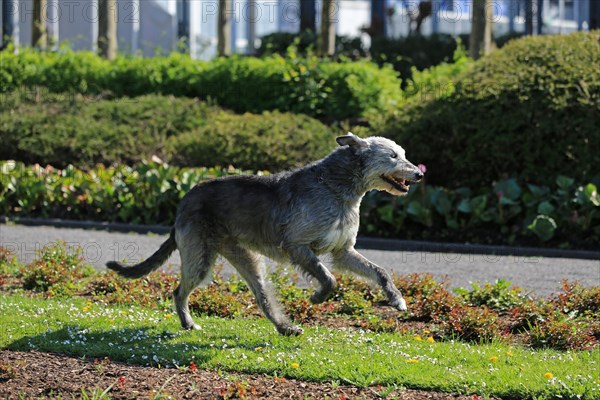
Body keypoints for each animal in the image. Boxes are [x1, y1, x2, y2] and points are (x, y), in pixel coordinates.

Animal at [109, 134, 426, 334]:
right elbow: (329, 277)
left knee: (261, 295)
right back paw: (188, 323)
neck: (337, 187)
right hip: (199, 256)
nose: (420, 174)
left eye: (404, 154)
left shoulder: (343, 251)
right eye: (393, 156)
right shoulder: (297, 246)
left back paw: (285, 328)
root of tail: (184, 200)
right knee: (179, 290)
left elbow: (378, 271)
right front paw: (318, 297)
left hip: (246, 257)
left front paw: (396, 299)